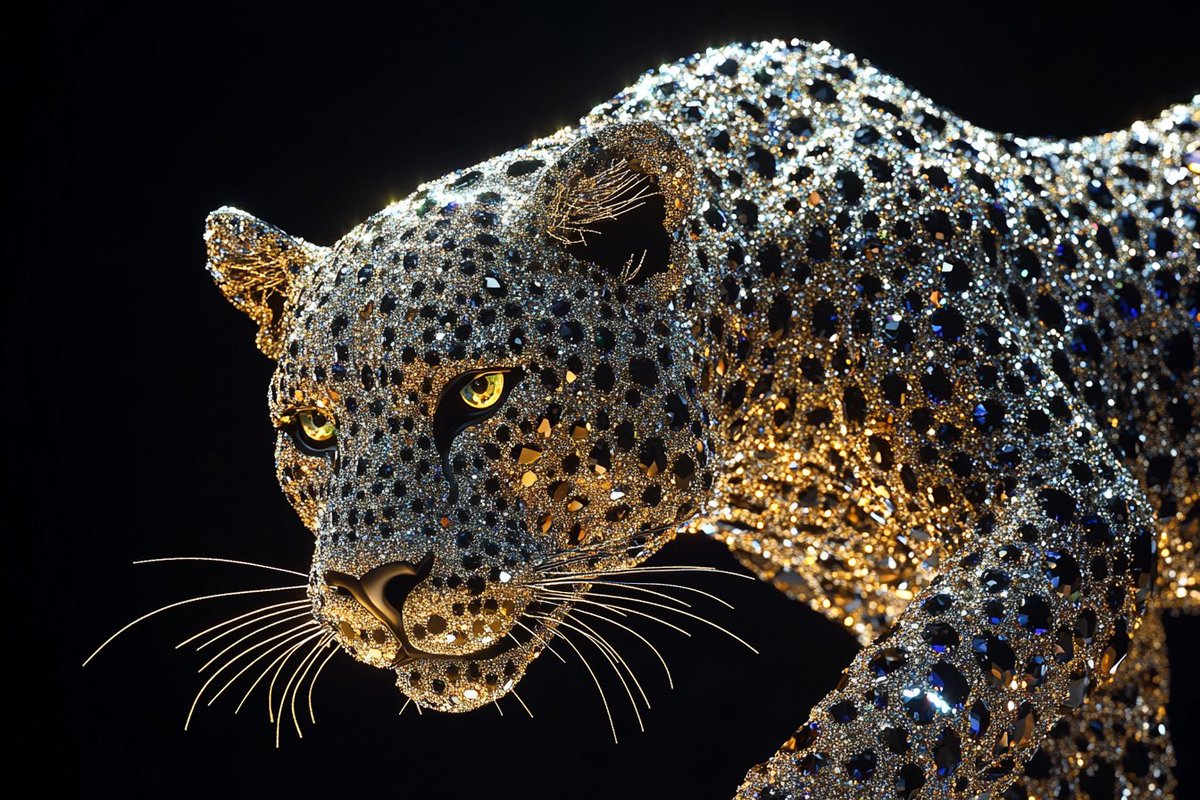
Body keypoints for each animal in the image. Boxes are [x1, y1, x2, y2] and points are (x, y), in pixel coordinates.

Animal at [109, 39, 1200, 799]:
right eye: (314, 430)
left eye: (481, 394)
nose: (370, 587)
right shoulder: (1087, 666)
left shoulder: (1077, 502)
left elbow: (897, 720)